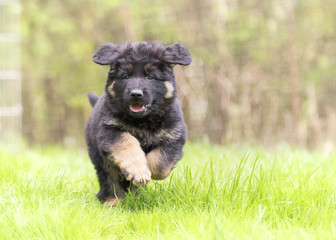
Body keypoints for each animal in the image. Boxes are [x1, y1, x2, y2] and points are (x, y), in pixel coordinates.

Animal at [85, 41, 192, 206]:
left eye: (150, 77)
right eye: (125, 76)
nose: (136, 94)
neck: (143, 121)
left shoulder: (174, 136)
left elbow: (160, 163)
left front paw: (146, 172)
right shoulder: (110, 131)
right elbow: (128, 144)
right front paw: (139, 170)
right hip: (100, 157)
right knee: (109, 180)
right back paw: (112, 201)